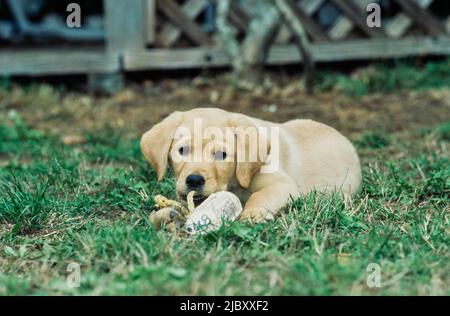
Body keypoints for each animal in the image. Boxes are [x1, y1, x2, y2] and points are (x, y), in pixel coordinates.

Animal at [142, 108, 362, 222]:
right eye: (182, 150)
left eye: (222, 155)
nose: (194, 180)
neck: (234, 185)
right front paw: (165, 215)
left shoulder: (282, 184)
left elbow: (260, 195)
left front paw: (252, 215)